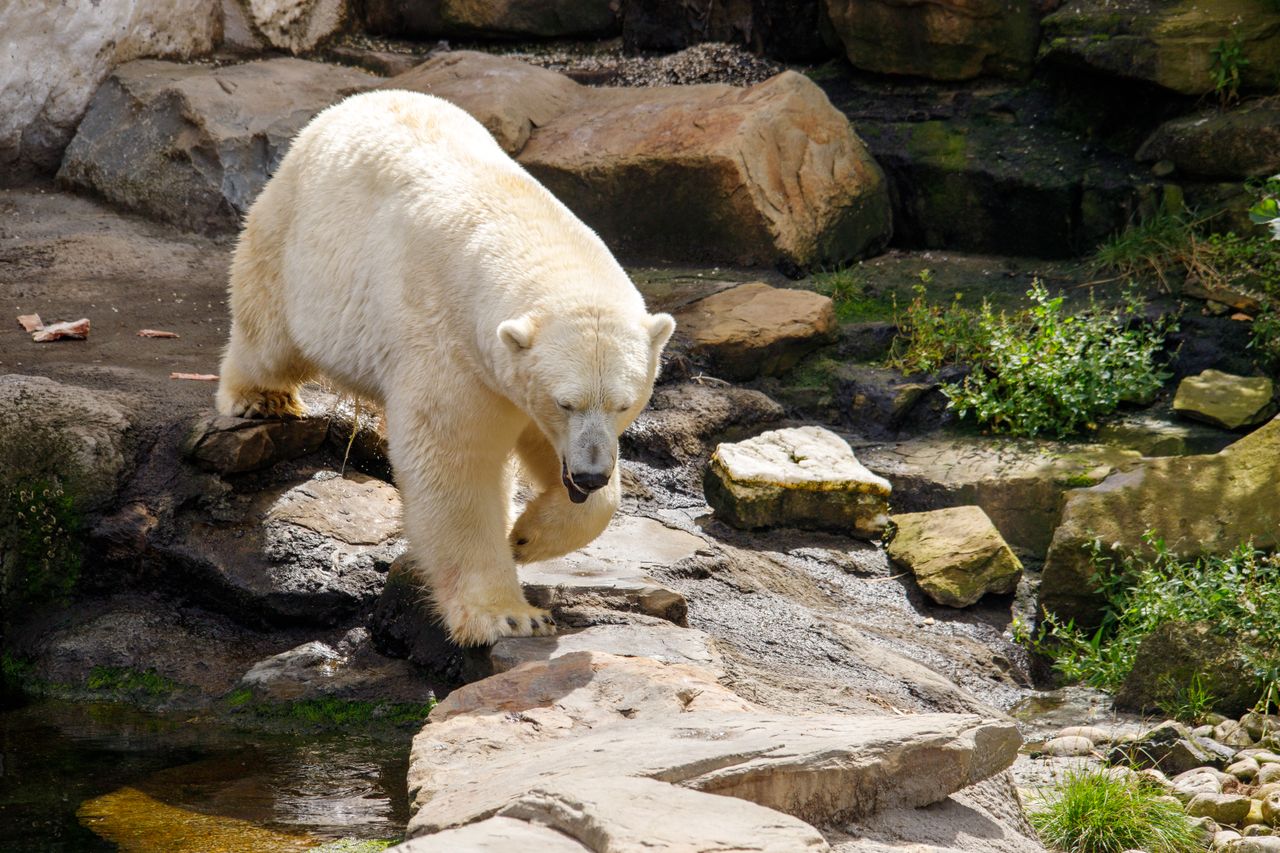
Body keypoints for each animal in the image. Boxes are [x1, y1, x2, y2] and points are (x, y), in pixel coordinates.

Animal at [215, 90, 675, 645]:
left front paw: (527, 535)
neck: (521, 226)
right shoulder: (450, 344)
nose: (588, 475)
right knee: (269, 331)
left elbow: (548, 449)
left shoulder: (515, 379)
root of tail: (353, 102)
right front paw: (509, 615)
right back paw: (261, 397)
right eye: (566, 401)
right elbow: (455, 465)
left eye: (625, 404)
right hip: (296, 238)